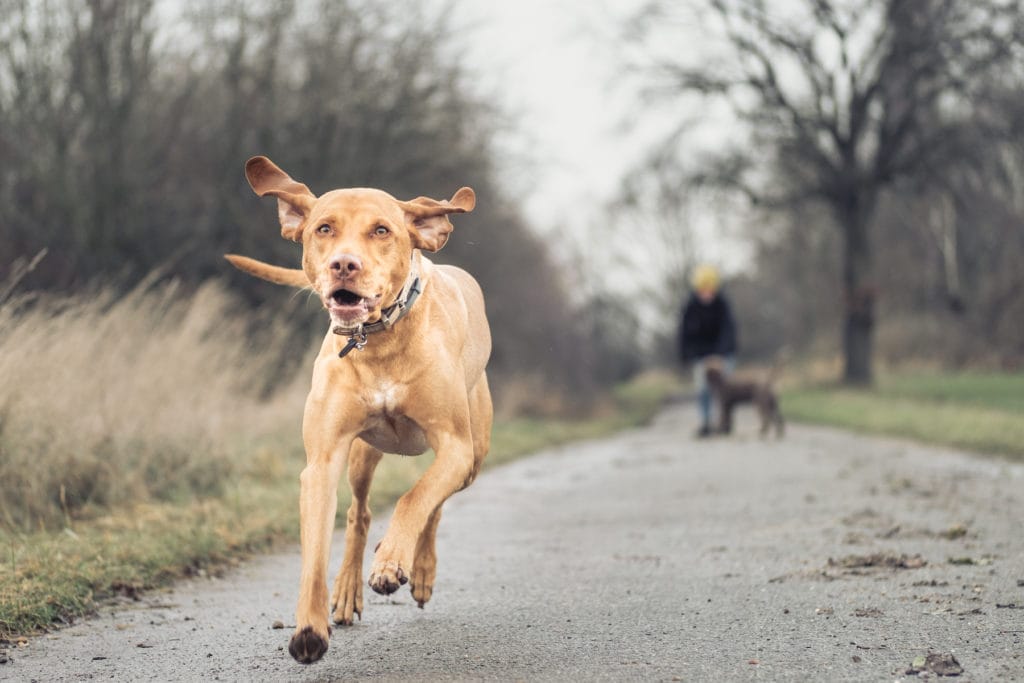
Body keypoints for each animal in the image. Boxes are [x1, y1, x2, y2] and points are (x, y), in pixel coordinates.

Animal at [228, 156, 491, 663]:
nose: (344, 265)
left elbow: (415, 499)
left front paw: (391, 563)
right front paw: (309, 628)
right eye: (324, 228)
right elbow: (314, 551)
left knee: (435, 504)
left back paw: (419, 568)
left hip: (474, 455)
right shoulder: (323, 460)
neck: (379, 341)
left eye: (382, 230)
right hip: (364, 454)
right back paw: (348, 589)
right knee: (360, 514)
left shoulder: (454, 445)